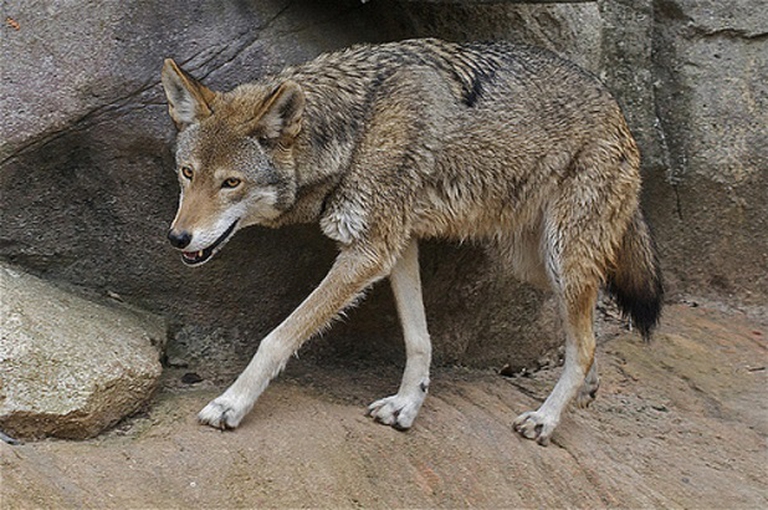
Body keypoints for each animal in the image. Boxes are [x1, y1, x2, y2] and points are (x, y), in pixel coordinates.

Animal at [161, 38, 663, 445]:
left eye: (231, 183)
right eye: (187, 173)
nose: (177, 237)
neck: (357, 131)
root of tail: (618, 110)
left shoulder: (367, 251)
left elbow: (278, 337)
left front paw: (231, 404)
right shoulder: (396, 246)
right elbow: (419, 339)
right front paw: (407, 406)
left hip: (559, 258)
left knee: (584, 341)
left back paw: (546, 419)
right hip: (533, 264)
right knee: (587, 328)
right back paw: (586, 389)